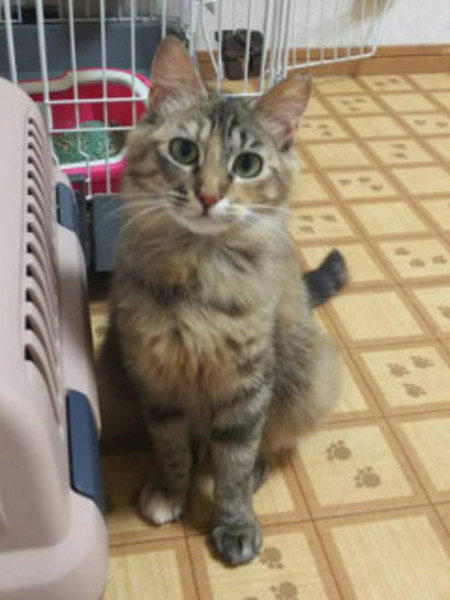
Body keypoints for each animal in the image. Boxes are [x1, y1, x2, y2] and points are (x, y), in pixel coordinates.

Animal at [98, 36, 348, 566]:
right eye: (184, 150)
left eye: (247, 165)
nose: (209, 196)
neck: (197, 270)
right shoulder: (155, 378)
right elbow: (171, 447)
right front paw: (170, 490)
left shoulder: (246, 387)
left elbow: (232, 463)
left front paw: (234, 524)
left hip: (306, 377)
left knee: (269, 446)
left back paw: (255, 473)